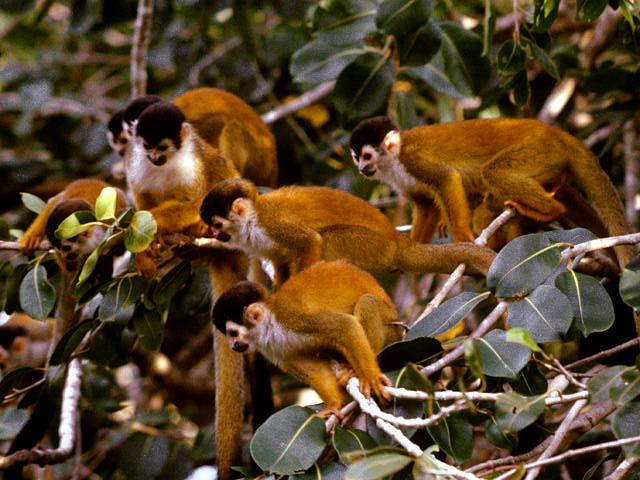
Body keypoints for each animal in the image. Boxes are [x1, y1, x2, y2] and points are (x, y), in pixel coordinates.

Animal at [200, 178, 496, 286]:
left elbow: (310, 241)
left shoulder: (271, 223)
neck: (250, 222)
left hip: (371, 247)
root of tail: (398, 241)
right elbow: (280, 259)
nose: (215, 235)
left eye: (216, 224)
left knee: (329, 239)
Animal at [211, 262, 400, 416]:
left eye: (233, 333)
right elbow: (310, 366)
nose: (232, 345)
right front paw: (334, 404)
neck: (269, 328)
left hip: (391, 327)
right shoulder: (273, 348)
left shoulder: (291, 317)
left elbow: (343, 325)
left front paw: (371, 378)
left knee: (367, 302)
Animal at [352, 115, 636, 268]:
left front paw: (463, 237)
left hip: (538, 150)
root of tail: (555, 133)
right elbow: (425, 204)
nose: (362, 168)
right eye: (357, 158)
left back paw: (549, 210)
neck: (393, 159)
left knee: (492, 173)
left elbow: (446, 178)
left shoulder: (413, 159)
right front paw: (413, 247)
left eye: (367, 156)